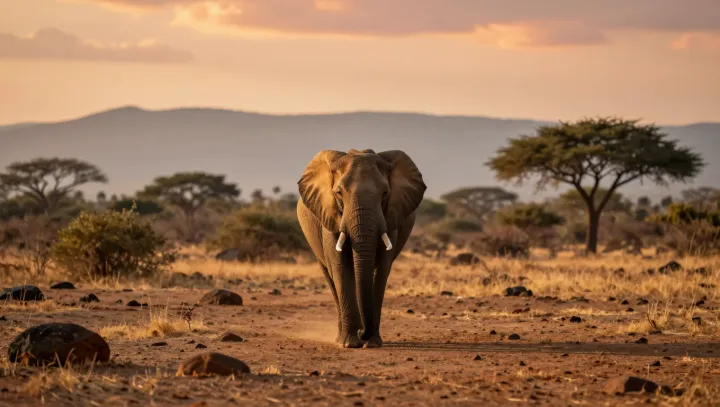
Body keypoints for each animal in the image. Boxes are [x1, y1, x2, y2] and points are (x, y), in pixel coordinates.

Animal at [296, 148, 427, 348]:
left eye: (385, 193)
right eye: (339, 192)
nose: (362, 333)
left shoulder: (391, 216)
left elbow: (381, 271)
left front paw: (372, 343)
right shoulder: (331, 216)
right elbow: (340, 267)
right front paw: (350, 344)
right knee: (331, 278)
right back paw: (339, 338)